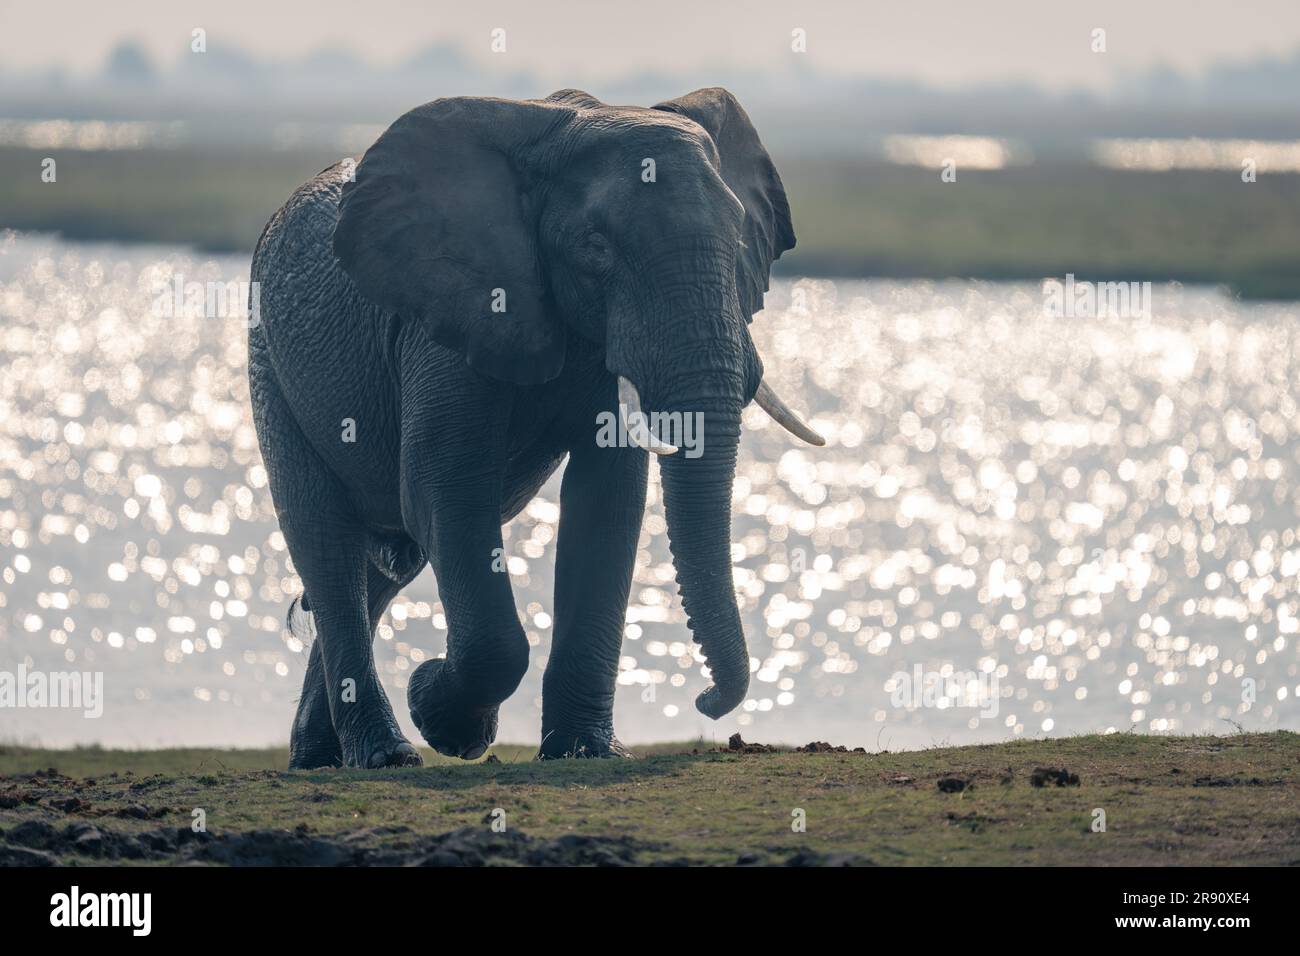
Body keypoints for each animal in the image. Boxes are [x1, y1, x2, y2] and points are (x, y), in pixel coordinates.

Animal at [247, 87, 826, 769]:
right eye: (595, 248)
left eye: (739, 234)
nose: (707, 702)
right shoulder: (450, 313)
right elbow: (444, 490)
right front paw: (444, 715)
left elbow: (606, 501)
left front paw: (586, 752)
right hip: (269, 363)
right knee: (328, 543)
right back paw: (385, 755)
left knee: (382, 570)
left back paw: (323, 757)